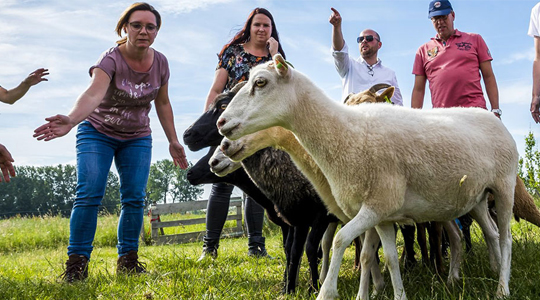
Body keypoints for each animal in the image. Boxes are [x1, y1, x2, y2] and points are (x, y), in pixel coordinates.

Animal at [217, 54, 516, 300]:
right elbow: (387, 257)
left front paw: (327, 292)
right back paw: (489, 272)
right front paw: (396, 295)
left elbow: (341, 241)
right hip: (476, 197)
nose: (221, 124)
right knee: (490, 232)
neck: (347, 133)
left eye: (260, 83)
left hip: (504, 186)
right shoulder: (382, 214)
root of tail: (491, 116)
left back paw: (502, 288)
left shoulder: (376, 205)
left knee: (505, 238)